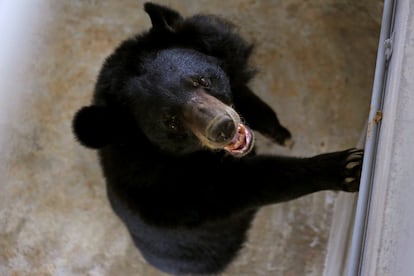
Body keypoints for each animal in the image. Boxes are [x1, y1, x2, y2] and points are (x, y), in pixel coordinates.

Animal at [73, 2, 364, 276]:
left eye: (202, 80)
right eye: (171, 120)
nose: (223, 127)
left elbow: (246, 96)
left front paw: (282, 134)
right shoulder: (180, 189)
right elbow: (258, 181)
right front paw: (346, 167)